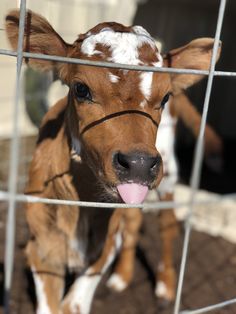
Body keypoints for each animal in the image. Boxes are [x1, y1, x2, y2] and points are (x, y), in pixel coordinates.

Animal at [5, 9, 220, 314]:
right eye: (81, 89)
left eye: (165, 97)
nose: (139, 163)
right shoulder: (41, 247)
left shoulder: (102, 250)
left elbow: (73, 304)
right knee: (133, 222)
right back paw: (123, 277)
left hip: (169, 172)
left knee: (167, 224)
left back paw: (166, 285)